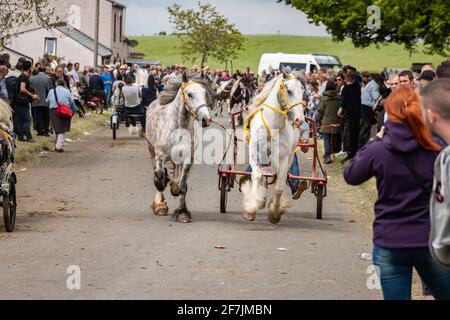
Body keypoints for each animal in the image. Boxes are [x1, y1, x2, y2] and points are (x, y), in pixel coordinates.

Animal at [146, 72, 213, 222]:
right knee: (157, 172)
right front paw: (160, 204)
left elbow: (182, 186)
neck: (178, 128)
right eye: (190, 94)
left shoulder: (187, 159)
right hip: (151, 150)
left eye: (204, 93)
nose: (206, 119)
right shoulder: (160, 157)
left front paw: (182, 213)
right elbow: (159, 176)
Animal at [243, 66, 306, 224]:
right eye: (288, 90)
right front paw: (251, 208)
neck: (272, 127)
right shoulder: (255, 154)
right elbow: (256, 176)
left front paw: (274, 212)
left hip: (289, 156)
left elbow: (279, 187)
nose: (299, 119)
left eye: (303, 90)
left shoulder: (283, 158)